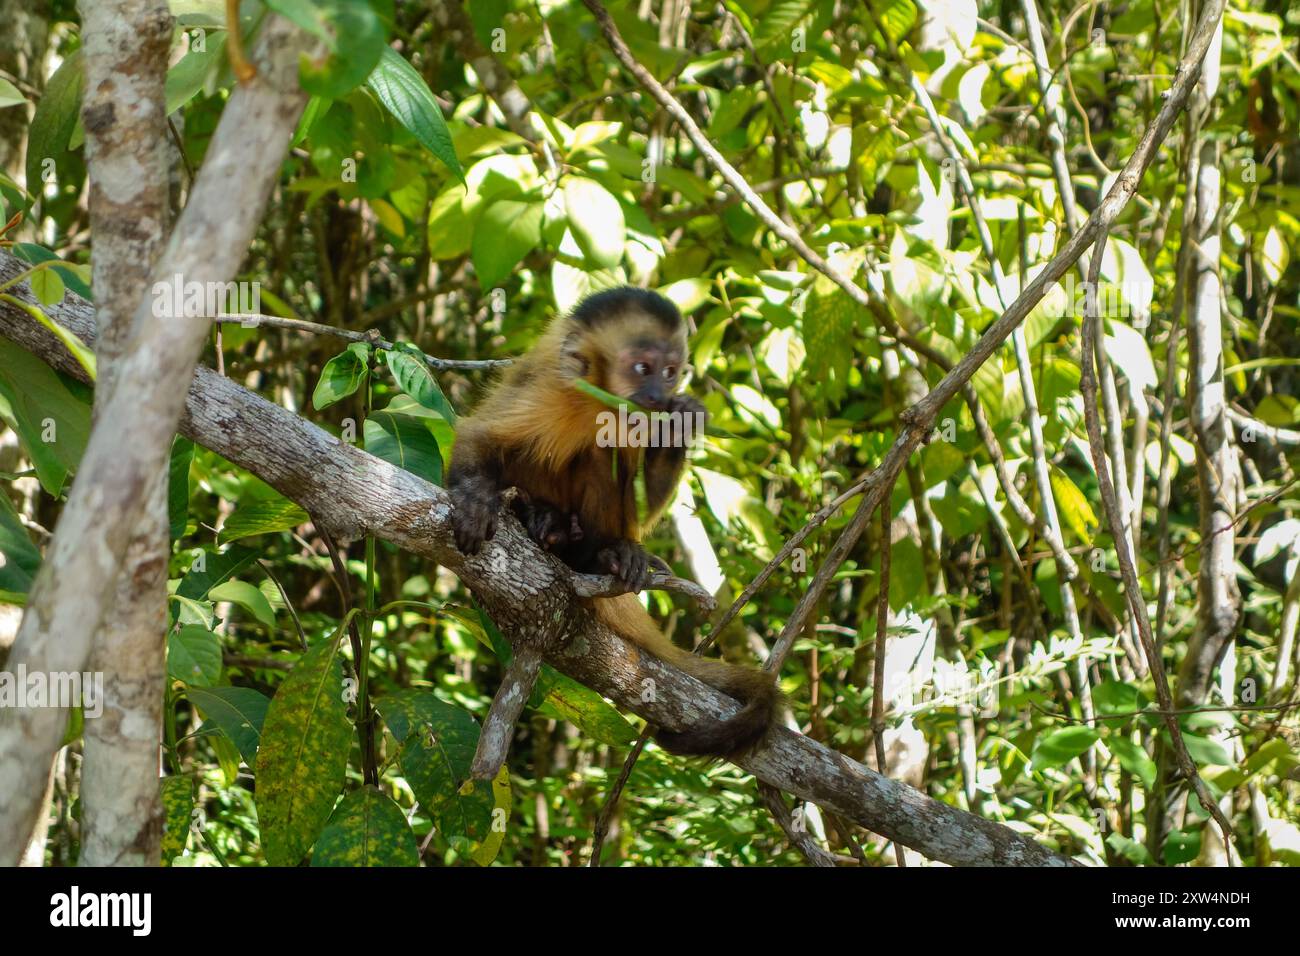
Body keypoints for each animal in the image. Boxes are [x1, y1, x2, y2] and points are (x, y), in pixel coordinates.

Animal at [447, 287, 774, 759]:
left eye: (670, 373)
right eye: (642, 368)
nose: (656, 395)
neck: (597, 400)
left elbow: (641, 504)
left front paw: (680, 425)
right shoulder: (551, 388)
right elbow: (481, 434)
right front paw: (475, 501)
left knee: (603, 458)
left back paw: (597, 554)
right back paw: (542, 521)